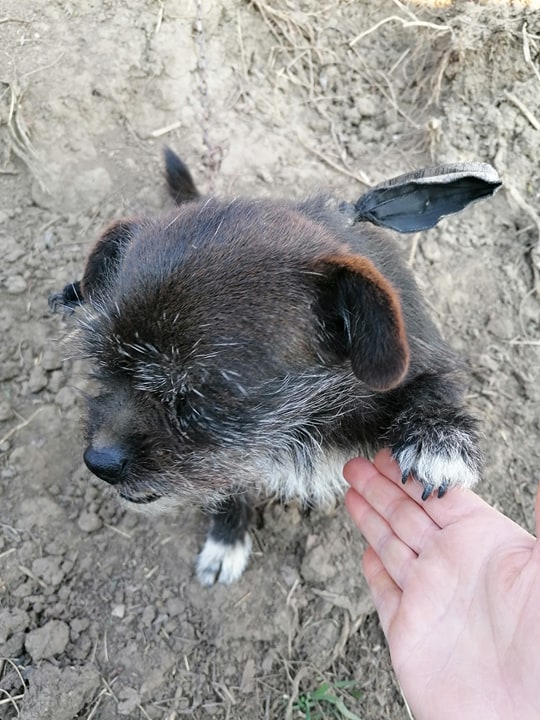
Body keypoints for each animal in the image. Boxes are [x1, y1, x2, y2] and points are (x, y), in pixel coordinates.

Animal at [49, 150, 480, 584]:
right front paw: (226, 538)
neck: (310, 420)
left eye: (200, 398)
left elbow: (438, 383)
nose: (100, 462)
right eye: (102, 364)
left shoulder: (424, 355)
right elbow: (230, 484)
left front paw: (439, 439)